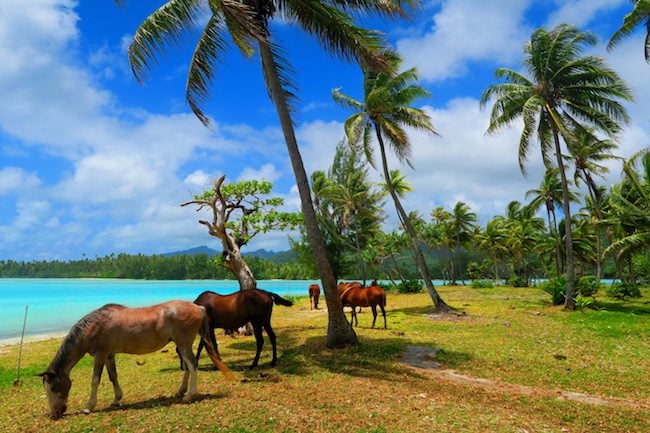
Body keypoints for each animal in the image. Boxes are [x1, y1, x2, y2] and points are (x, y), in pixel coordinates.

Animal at [38, 298, 230, 416]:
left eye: (53, 387)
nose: (55, 413)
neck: (94, 326)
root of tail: (199, 308)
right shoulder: (109, 355)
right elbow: (113, 377)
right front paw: (116, 400)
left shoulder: (100, 355)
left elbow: (95, 380)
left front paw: (88, 407)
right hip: (182, 345)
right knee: (188, 367)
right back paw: (181, 391)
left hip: (184, 343)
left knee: (192, 365)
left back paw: (189, 395)